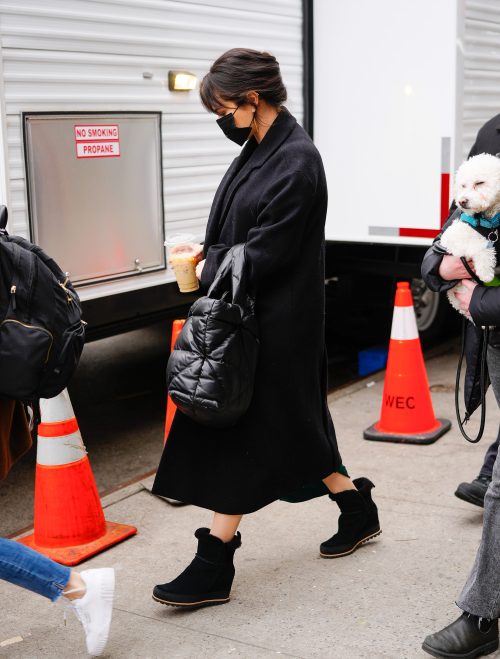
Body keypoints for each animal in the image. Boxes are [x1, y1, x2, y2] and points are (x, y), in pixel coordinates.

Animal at [439, 153, 500, 318]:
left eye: (479, 183)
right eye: (463, 186)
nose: (461, 201)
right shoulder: (455, 239)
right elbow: (480, 247)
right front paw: (486, 272)